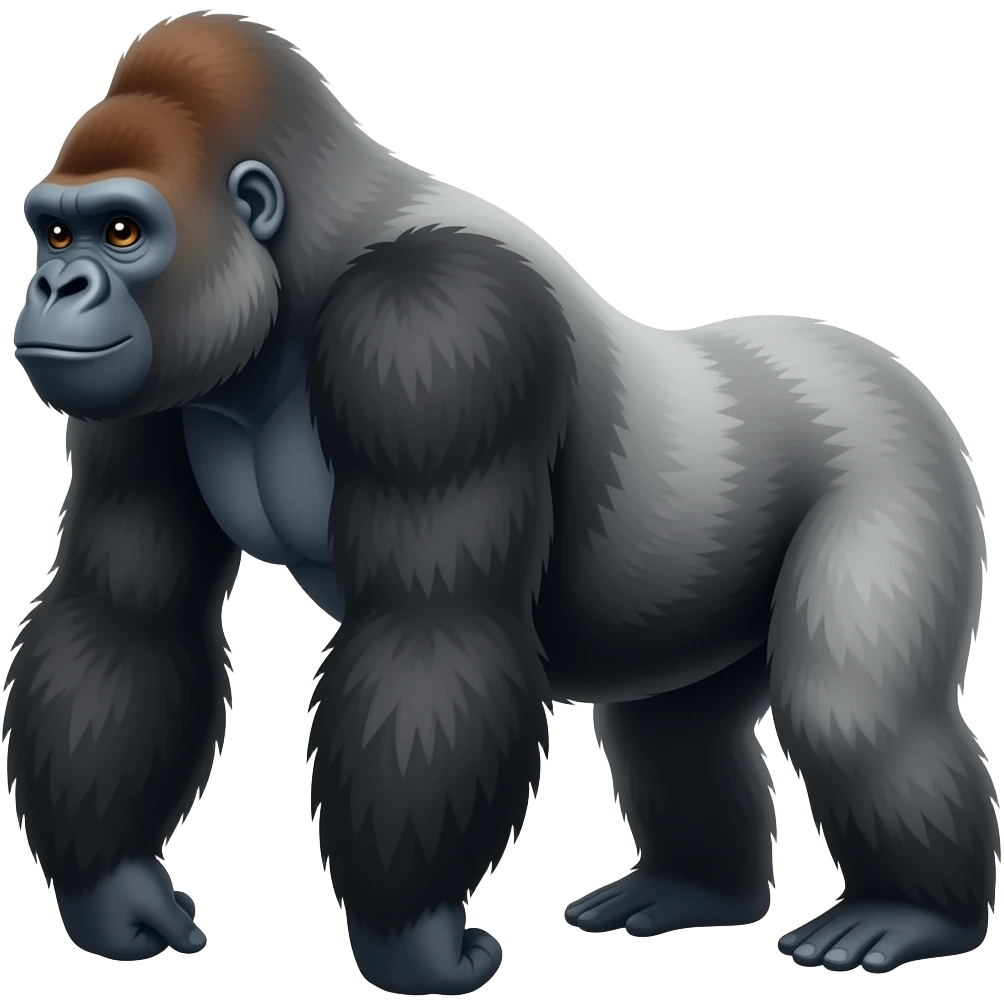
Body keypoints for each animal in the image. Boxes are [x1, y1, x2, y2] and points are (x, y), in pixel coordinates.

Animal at [5, 11, 995, 993]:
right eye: (53, 234)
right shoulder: (145, 395)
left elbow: (434, 632)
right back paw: (697, 888)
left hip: (896, 453)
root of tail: (873, 358)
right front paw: (112, 893)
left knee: (852, 714)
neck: (301, 265)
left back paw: (916, 913)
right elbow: (126, 611)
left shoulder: (434, 326)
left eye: (123, 231)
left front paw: (411, 944)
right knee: (675, 729)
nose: (56, 286)